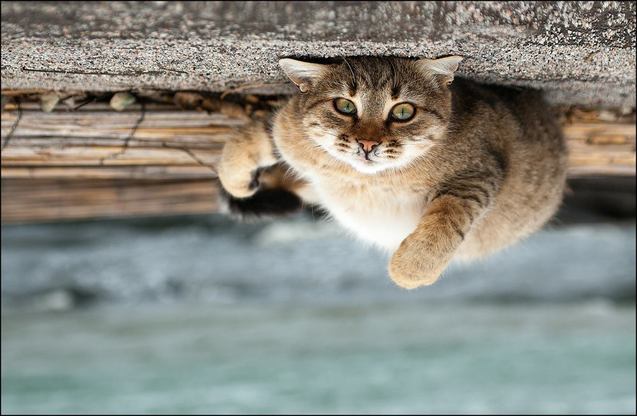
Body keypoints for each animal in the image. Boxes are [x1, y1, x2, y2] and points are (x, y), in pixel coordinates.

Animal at [215, 57, 568, 288]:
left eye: (403, 111)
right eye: (345, 106)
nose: (367, 144)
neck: (366, 179)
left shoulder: (478, 174)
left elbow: (446, 217)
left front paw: (412, 269)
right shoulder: (288, 127)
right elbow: (260, 134)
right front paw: (236, 177)